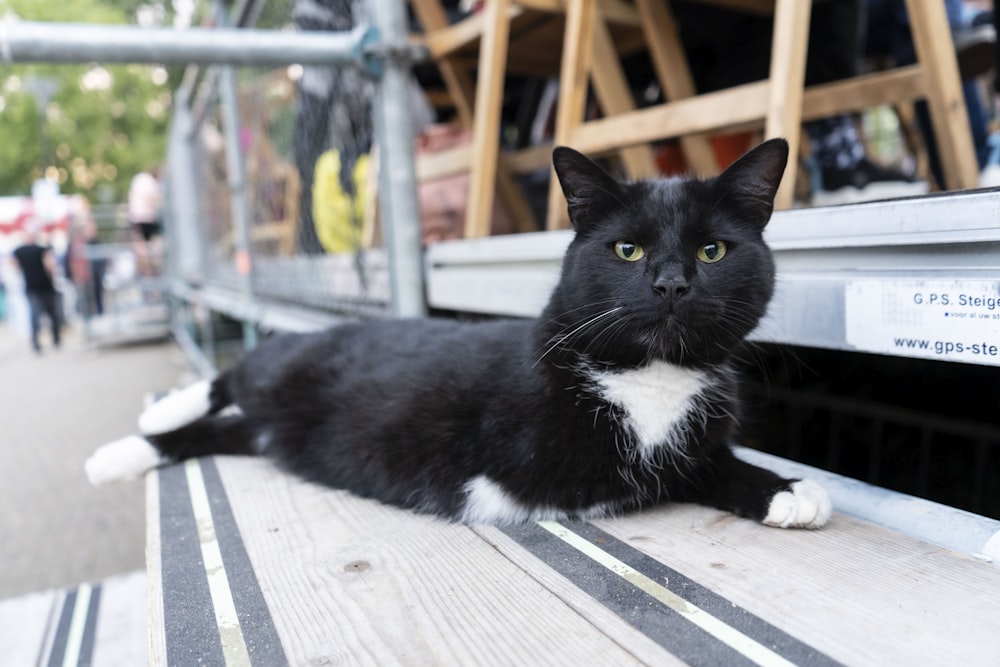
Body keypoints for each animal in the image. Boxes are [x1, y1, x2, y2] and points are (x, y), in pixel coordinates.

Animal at [86, 141, 832, 532]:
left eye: (712, 250)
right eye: (627, 249)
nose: (672, 283)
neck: (654, 374)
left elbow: (702, 461)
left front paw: (786, 486)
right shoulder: (552, 459)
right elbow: (657, 468)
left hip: (277, 427)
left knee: (225, 430)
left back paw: (129, 451)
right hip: (283, 367)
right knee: (234, 375)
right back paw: (136, 432)